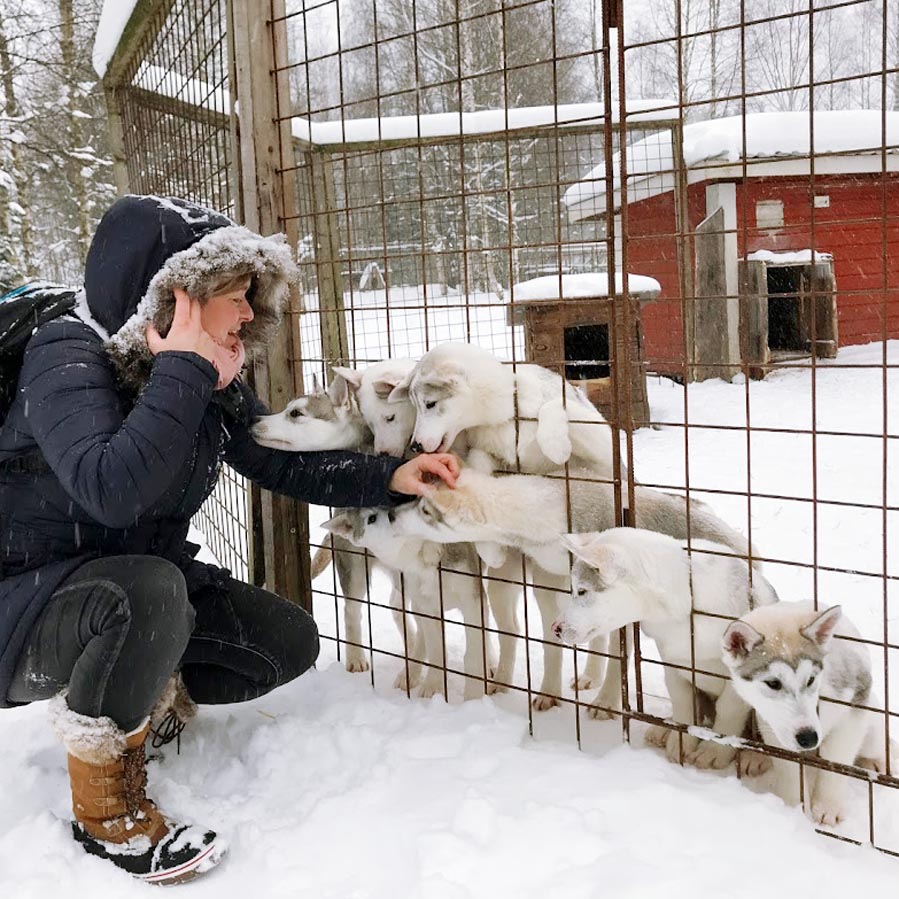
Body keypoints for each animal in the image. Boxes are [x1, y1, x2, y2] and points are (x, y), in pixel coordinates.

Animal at [324, 506, 502, 704]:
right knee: (352, 611)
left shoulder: (471, 597)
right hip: (356, 569)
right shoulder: (428, 606)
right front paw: (433, 686)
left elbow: (474, 649)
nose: (393, 515)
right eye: (371, 518)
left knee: (396, 606)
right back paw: (358, 658)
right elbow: (435, 648)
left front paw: (473, 698)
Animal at [552, 532, 776, 768]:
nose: (555, 628)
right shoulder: (671, 662)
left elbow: (728, 709)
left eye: (582, 591)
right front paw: (680, 740)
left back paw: (757, 757)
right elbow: (682, 702)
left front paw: (715, 750)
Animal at [720, 600, 884, 828]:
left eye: (811, 679)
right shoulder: (777, 729)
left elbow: (836, 762)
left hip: (872, 733)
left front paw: (828, 807)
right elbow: (789, 769)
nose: (809, 738)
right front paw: (795, 812)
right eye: (773, 683)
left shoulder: (854, 704)